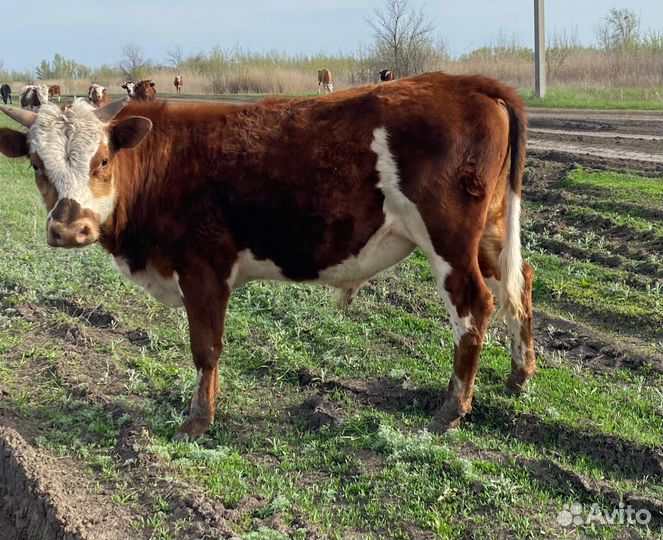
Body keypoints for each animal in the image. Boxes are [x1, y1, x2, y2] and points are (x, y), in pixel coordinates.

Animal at [0, 72, 535, 441]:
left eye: (103, 160)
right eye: (36, 164)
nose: (70, 229)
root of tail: (465, 82)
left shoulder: (203, 269)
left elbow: (205, 348)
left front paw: (197, 423)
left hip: (449, 240)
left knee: (475, 306)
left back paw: (451, 410)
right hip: (489, 231)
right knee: (520, 282)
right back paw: (520, 373)